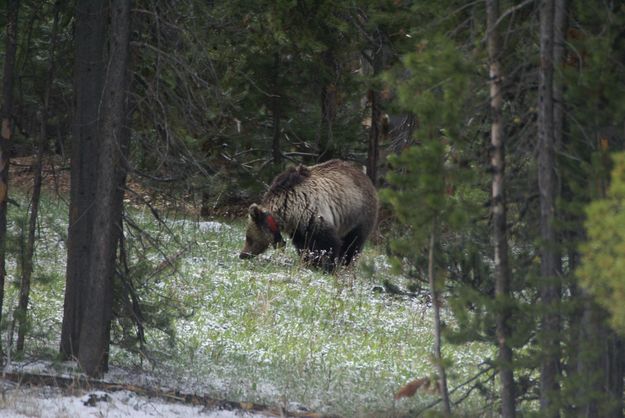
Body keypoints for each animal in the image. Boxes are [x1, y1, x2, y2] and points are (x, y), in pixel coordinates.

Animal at [238, 158, 376, 272]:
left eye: (248, 237)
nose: (242, 255)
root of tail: (365, 175)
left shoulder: (312, 213)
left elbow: (326, 244)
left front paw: (326, 266)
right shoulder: (299, 226)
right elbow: (304, 245)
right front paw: (309, 262)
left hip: (359, 214)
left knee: (353, 242)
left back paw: (346, 264)